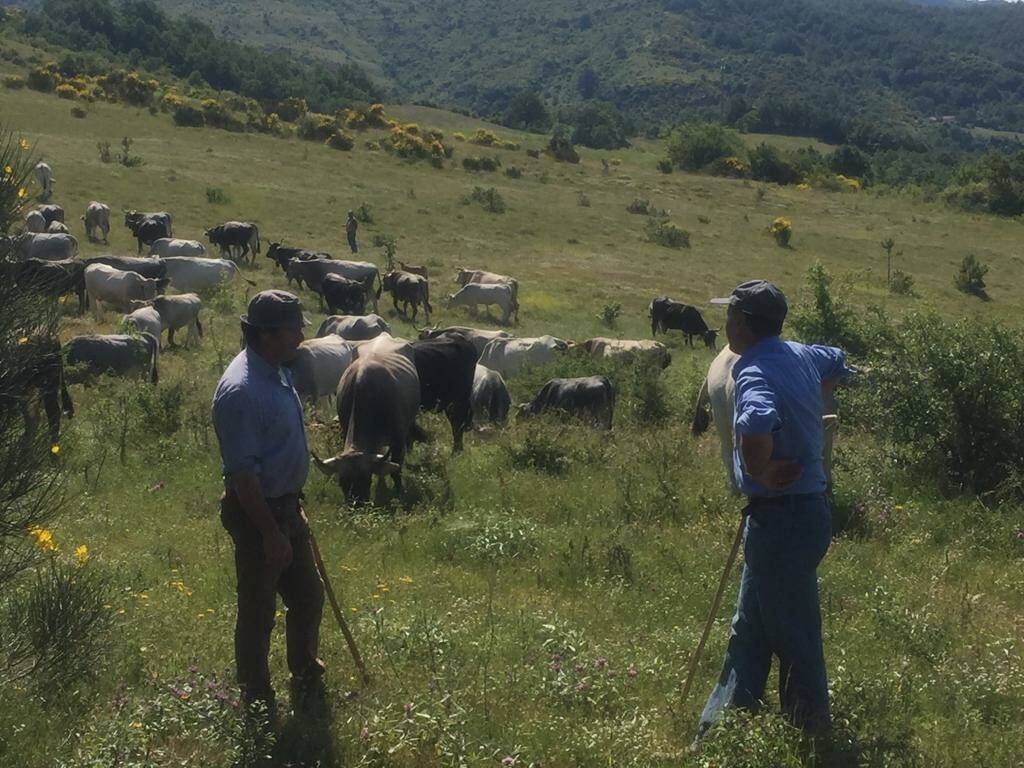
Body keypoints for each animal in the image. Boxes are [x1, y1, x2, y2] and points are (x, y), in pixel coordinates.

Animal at [313, 344, 421, 501]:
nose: (356, 504)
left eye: (366, 480)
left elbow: (395, 470)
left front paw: (400, 492)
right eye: (342, 483)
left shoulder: (398, 440)